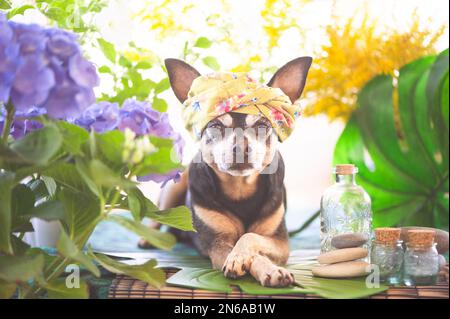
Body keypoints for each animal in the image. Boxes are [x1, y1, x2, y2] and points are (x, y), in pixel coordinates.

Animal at [141, 57, 312, 288]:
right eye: (216, 126)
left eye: (262, 125)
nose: (241, 147)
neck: (239, 188)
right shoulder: (218, 242)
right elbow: (247, 250)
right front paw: (245, 262)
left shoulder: (280, 242)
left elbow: (249, 237)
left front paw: (266, 267)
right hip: (175, 186)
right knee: (159, 215)